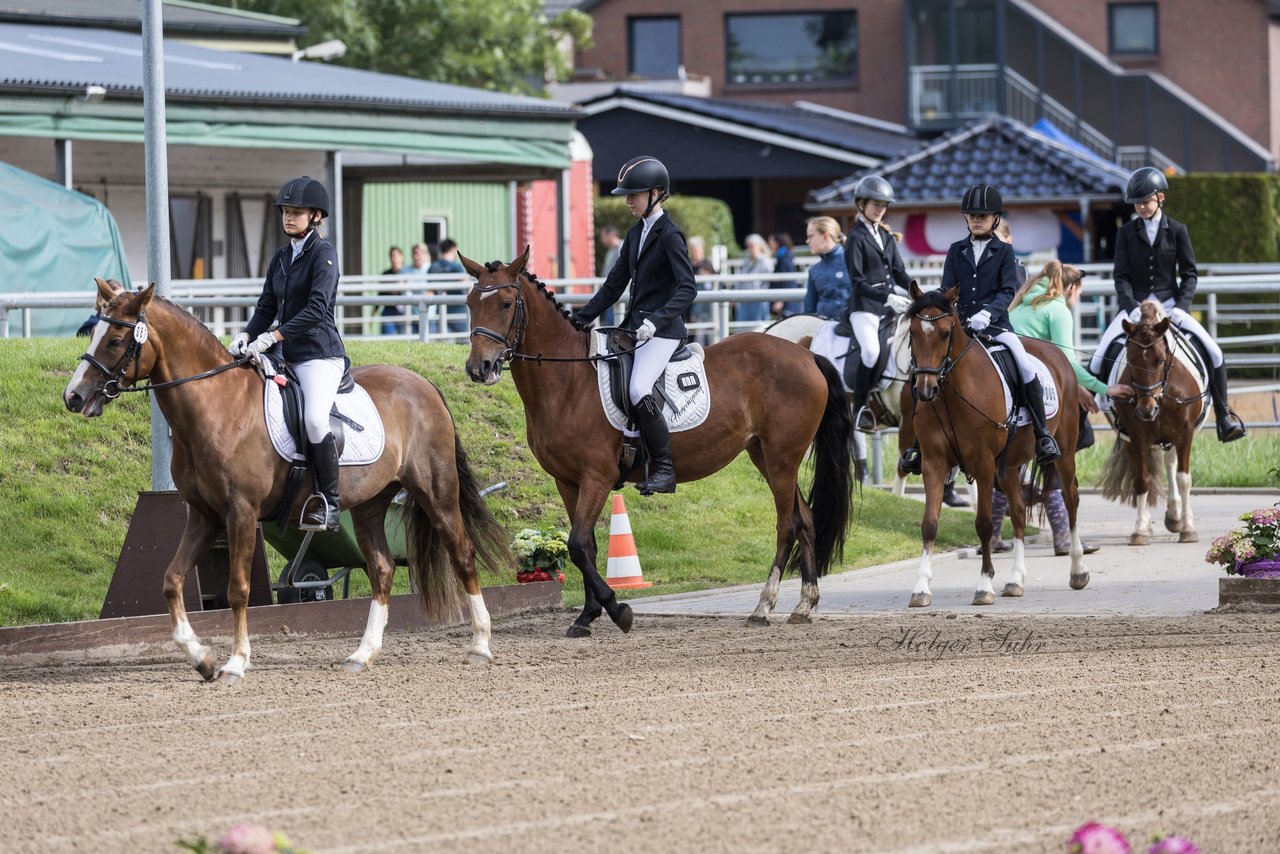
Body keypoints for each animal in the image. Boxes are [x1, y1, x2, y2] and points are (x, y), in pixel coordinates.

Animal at [63, 281, 504, 686]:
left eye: (116, 340)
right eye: (94, 333)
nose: (73, 396)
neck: (216, 406)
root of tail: (423, 385)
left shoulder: (240, 514)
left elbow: (238, 589)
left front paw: (235, 663)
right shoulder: (205, 517)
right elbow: (172, 581)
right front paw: (202, 658)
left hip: (437, 491)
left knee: (462, 554)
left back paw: (480, 646)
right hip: (369, 505)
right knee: (381, 568)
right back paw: (362, 655)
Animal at [460, 247, 849, 635]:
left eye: (506, 304)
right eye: (469, 303)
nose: (479, 368)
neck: (567, 381)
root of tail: (806, 354)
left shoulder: (597, 477)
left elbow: (578, 545)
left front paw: (618, 611)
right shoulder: (567, 481)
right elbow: (587, 547)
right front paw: (586, 616)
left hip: (782, 457)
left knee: (787, 524)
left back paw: (763, 607)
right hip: (765, 456)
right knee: (805, 519)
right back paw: (804, 604)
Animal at [906, 281, 1085, 606]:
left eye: (945, 333)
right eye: (913, 332)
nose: (925, 390)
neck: (952, 394)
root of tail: (1056, 353)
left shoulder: (983, 465)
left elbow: (984, 524)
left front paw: (984, 586)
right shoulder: (933, 464)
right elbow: (929, 523)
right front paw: (921, 588)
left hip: (1064, 451)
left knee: (1071, 498)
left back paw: (1078, 571)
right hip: (1010, 467)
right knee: (1018, 513)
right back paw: (1015, 580)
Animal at [1100, 300, 1198, 545]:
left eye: (1161, 360)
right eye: (1131, 360)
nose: (1146, 410)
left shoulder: (1185, 432)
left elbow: (1184, 479)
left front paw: (1188, 529)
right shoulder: (1136, 435)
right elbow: (1141, 481)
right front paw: (1140, 531)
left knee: (1172, 465)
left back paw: (1176, 517)